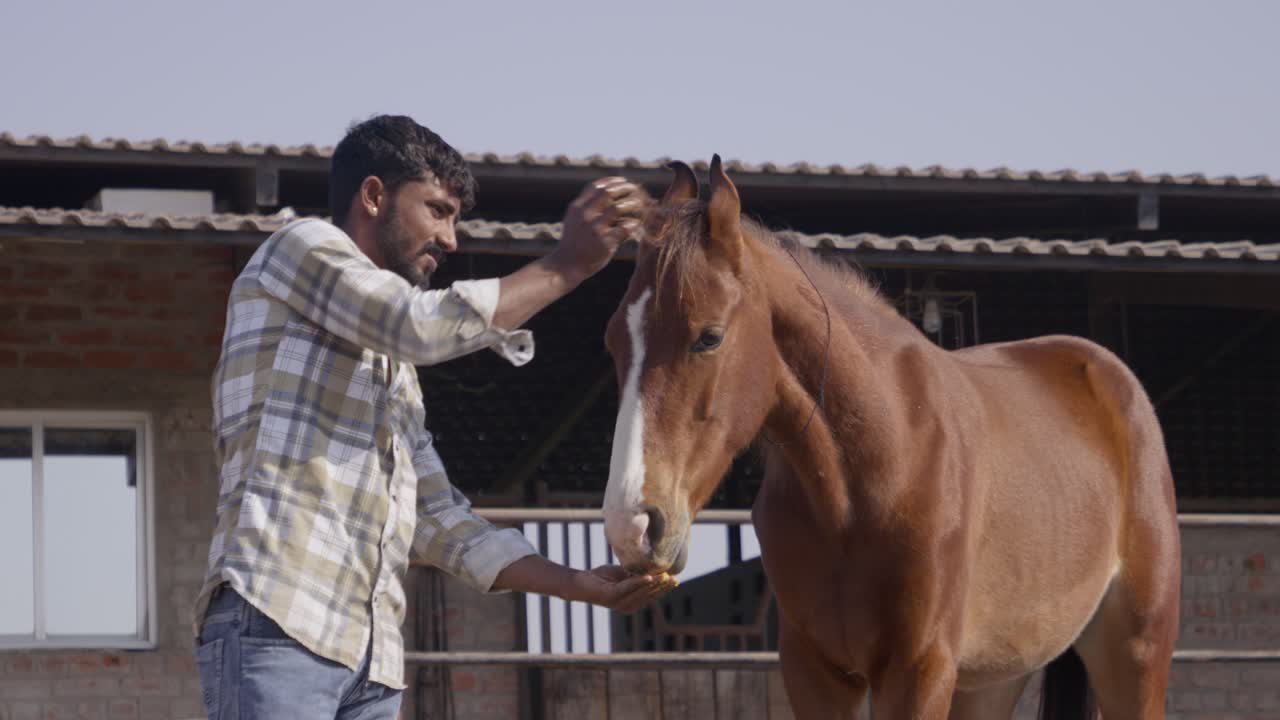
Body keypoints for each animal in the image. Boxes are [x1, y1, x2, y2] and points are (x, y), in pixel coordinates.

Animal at [599, 157, 1181, 719]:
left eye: (710, 336)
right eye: (613, 341)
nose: (633, 525)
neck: (874, 470)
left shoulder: (918, 670)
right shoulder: (815, 674)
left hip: (1135, 655)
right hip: (993, 681)